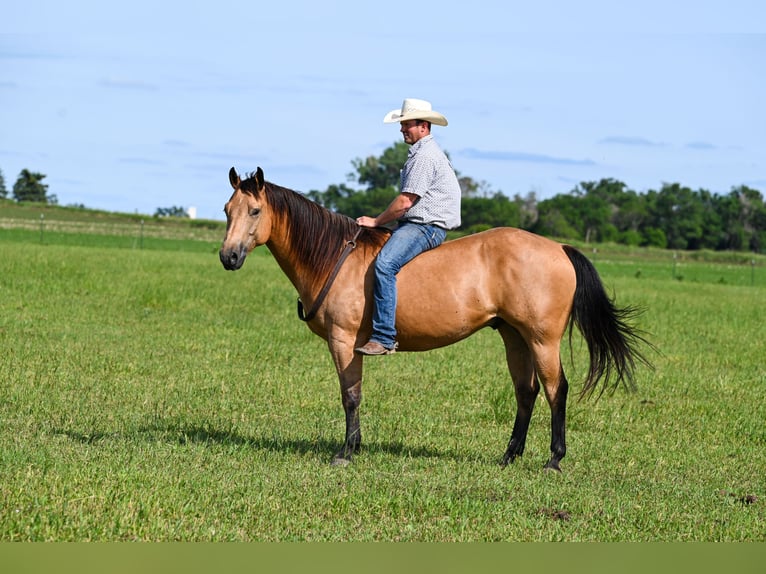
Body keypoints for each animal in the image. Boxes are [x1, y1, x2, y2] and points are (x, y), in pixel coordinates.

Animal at [218, 166, 656, 472]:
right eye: (226, 211)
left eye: (255, 210)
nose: (228, 256)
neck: (334, 257)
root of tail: (560, 249)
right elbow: (355, 395)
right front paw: (355, 447)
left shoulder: (343, 341)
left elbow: (350, 396)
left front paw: (346, 452)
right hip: (515, 337)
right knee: (526, 392)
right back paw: (509, 456)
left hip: (542, 339)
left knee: (555, 390)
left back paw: (553, 460)